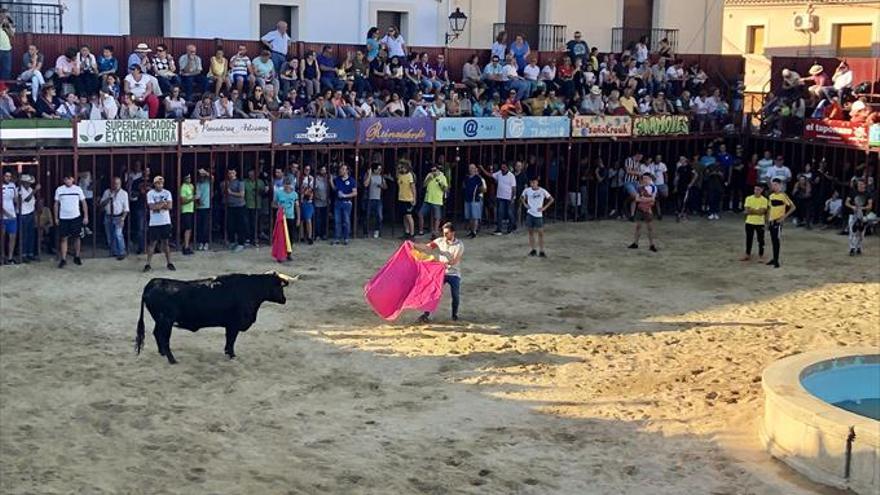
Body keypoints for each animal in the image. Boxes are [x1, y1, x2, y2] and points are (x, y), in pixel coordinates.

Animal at [132, 272, 294, 364]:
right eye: (279, 286)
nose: (284, 299)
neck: (250, 289)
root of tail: (153, 283)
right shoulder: (234, 324)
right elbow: (231, 340)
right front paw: (232, 355)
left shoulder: (230, 325)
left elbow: (229, 340)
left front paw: (229, 354)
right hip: (166, 321)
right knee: (164, 338)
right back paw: (172, 360)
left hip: (160, 321)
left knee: (156, 334)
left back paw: (162, 353)